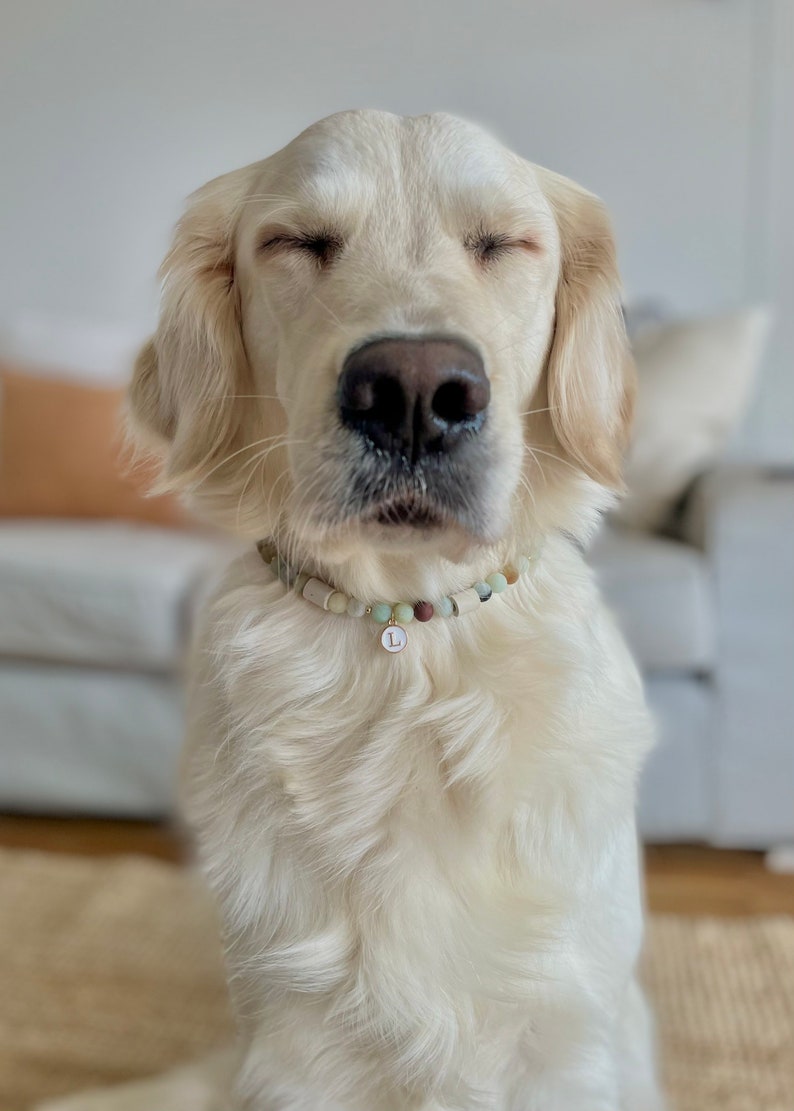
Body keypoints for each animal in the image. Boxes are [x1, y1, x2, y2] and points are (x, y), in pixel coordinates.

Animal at [41, 112, 666, 1111]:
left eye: (502, 243)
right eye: (298, 242)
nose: (412, 391)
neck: (406, 640)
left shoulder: (567, 1037)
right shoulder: (296, 1043)